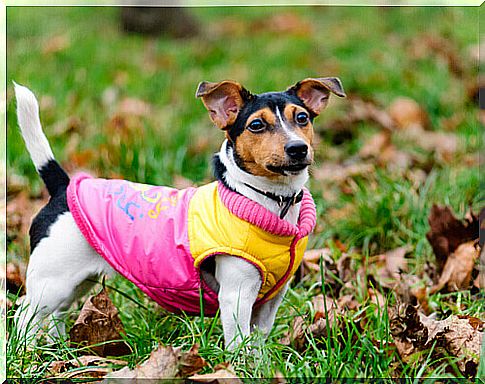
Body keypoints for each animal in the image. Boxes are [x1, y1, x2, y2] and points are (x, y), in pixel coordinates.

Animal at [12, 76, 344, 350]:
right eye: (256, 126)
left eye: (302, 118)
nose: (298, 148)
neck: (267, 200)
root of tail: (64, 187)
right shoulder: (236, 296)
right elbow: (238, 342)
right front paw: (240, 367)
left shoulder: (271, 299)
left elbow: (258, 340)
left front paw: (260, 363)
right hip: (51, 282)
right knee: (25, 315)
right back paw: (25, 351)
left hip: (77, 281)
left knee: (57, 314)